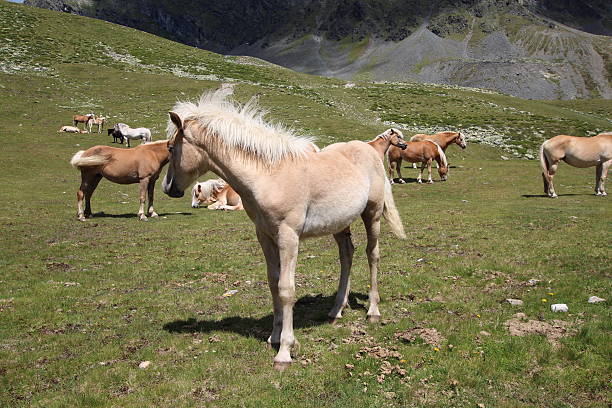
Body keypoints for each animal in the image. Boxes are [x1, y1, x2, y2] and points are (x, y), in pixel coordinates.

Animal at [161, 89, 406, 370]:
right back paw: (336, 310)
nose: (168, 188)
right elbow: (273, 283)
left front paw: (285, 351)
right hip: (340, 223)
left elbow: (286, 289)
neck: (269, 175)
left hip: (372, 214)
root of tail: (370, 151)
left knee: (372, 254)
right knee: (347, 255)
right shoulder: (265, 235)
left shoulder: (288, 236)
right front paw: (274, 337)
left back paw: (373, 311)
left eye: (171, 148)